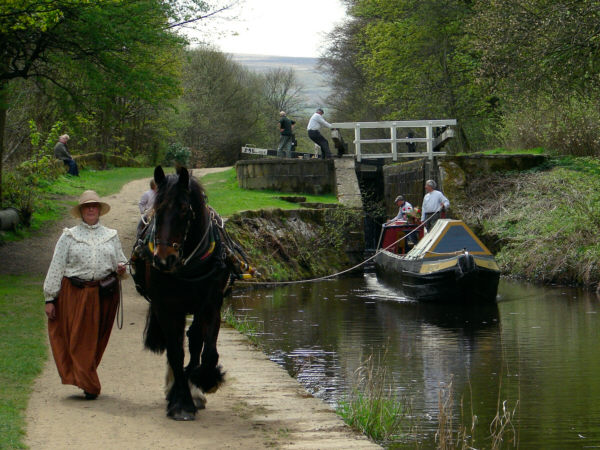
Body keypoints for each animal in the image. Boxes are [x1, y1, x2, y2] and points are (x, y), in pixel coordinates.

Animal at [138, 166, 230, 422]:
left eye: (183, 209)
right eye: (157, 209)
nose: (163, 259)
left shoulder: (211, 304)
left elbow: (207, 349)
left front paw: (204, 380)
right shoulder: (166, 306)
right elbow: (176, 352)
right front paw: (181, 402)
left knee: (195, 339)